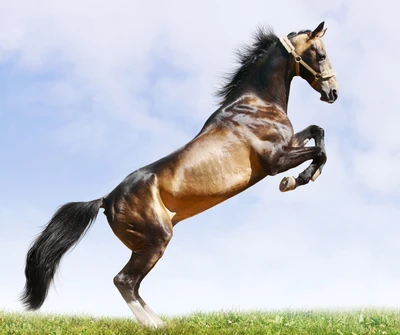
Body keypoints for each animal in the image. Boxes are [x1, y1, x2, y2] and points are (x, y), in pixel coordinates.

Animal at [21, 22, 338, 330]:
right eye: (321, 54)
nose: (333, 93)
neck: (256, 104)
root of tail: (106, 199)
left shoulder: (289, 144)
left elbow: (318, 132)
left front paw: (305, 175)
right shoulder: (275, 161)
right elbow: (319, 152)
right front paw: (297, 180)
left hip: (145, 245)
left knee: (133, 284)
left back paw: (161, 321)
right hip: (156, 240)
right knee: (124, 281)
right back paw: (152, 325)